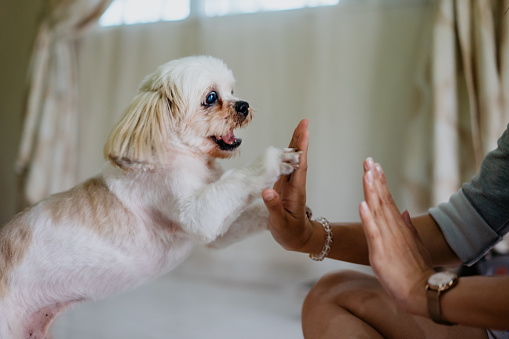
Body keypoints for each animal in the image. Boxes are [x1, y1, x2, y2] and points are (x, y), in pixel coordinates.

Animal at [0, 54, 300, 338]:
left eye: (232, 91)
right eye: (211, 97)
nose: (243, 105)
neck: (182, 156)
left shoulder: (221, 225)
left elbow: (242, 213)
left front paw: (287, 217)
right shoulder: (198, 214)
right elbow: (236, 181)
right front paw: (274, 160)